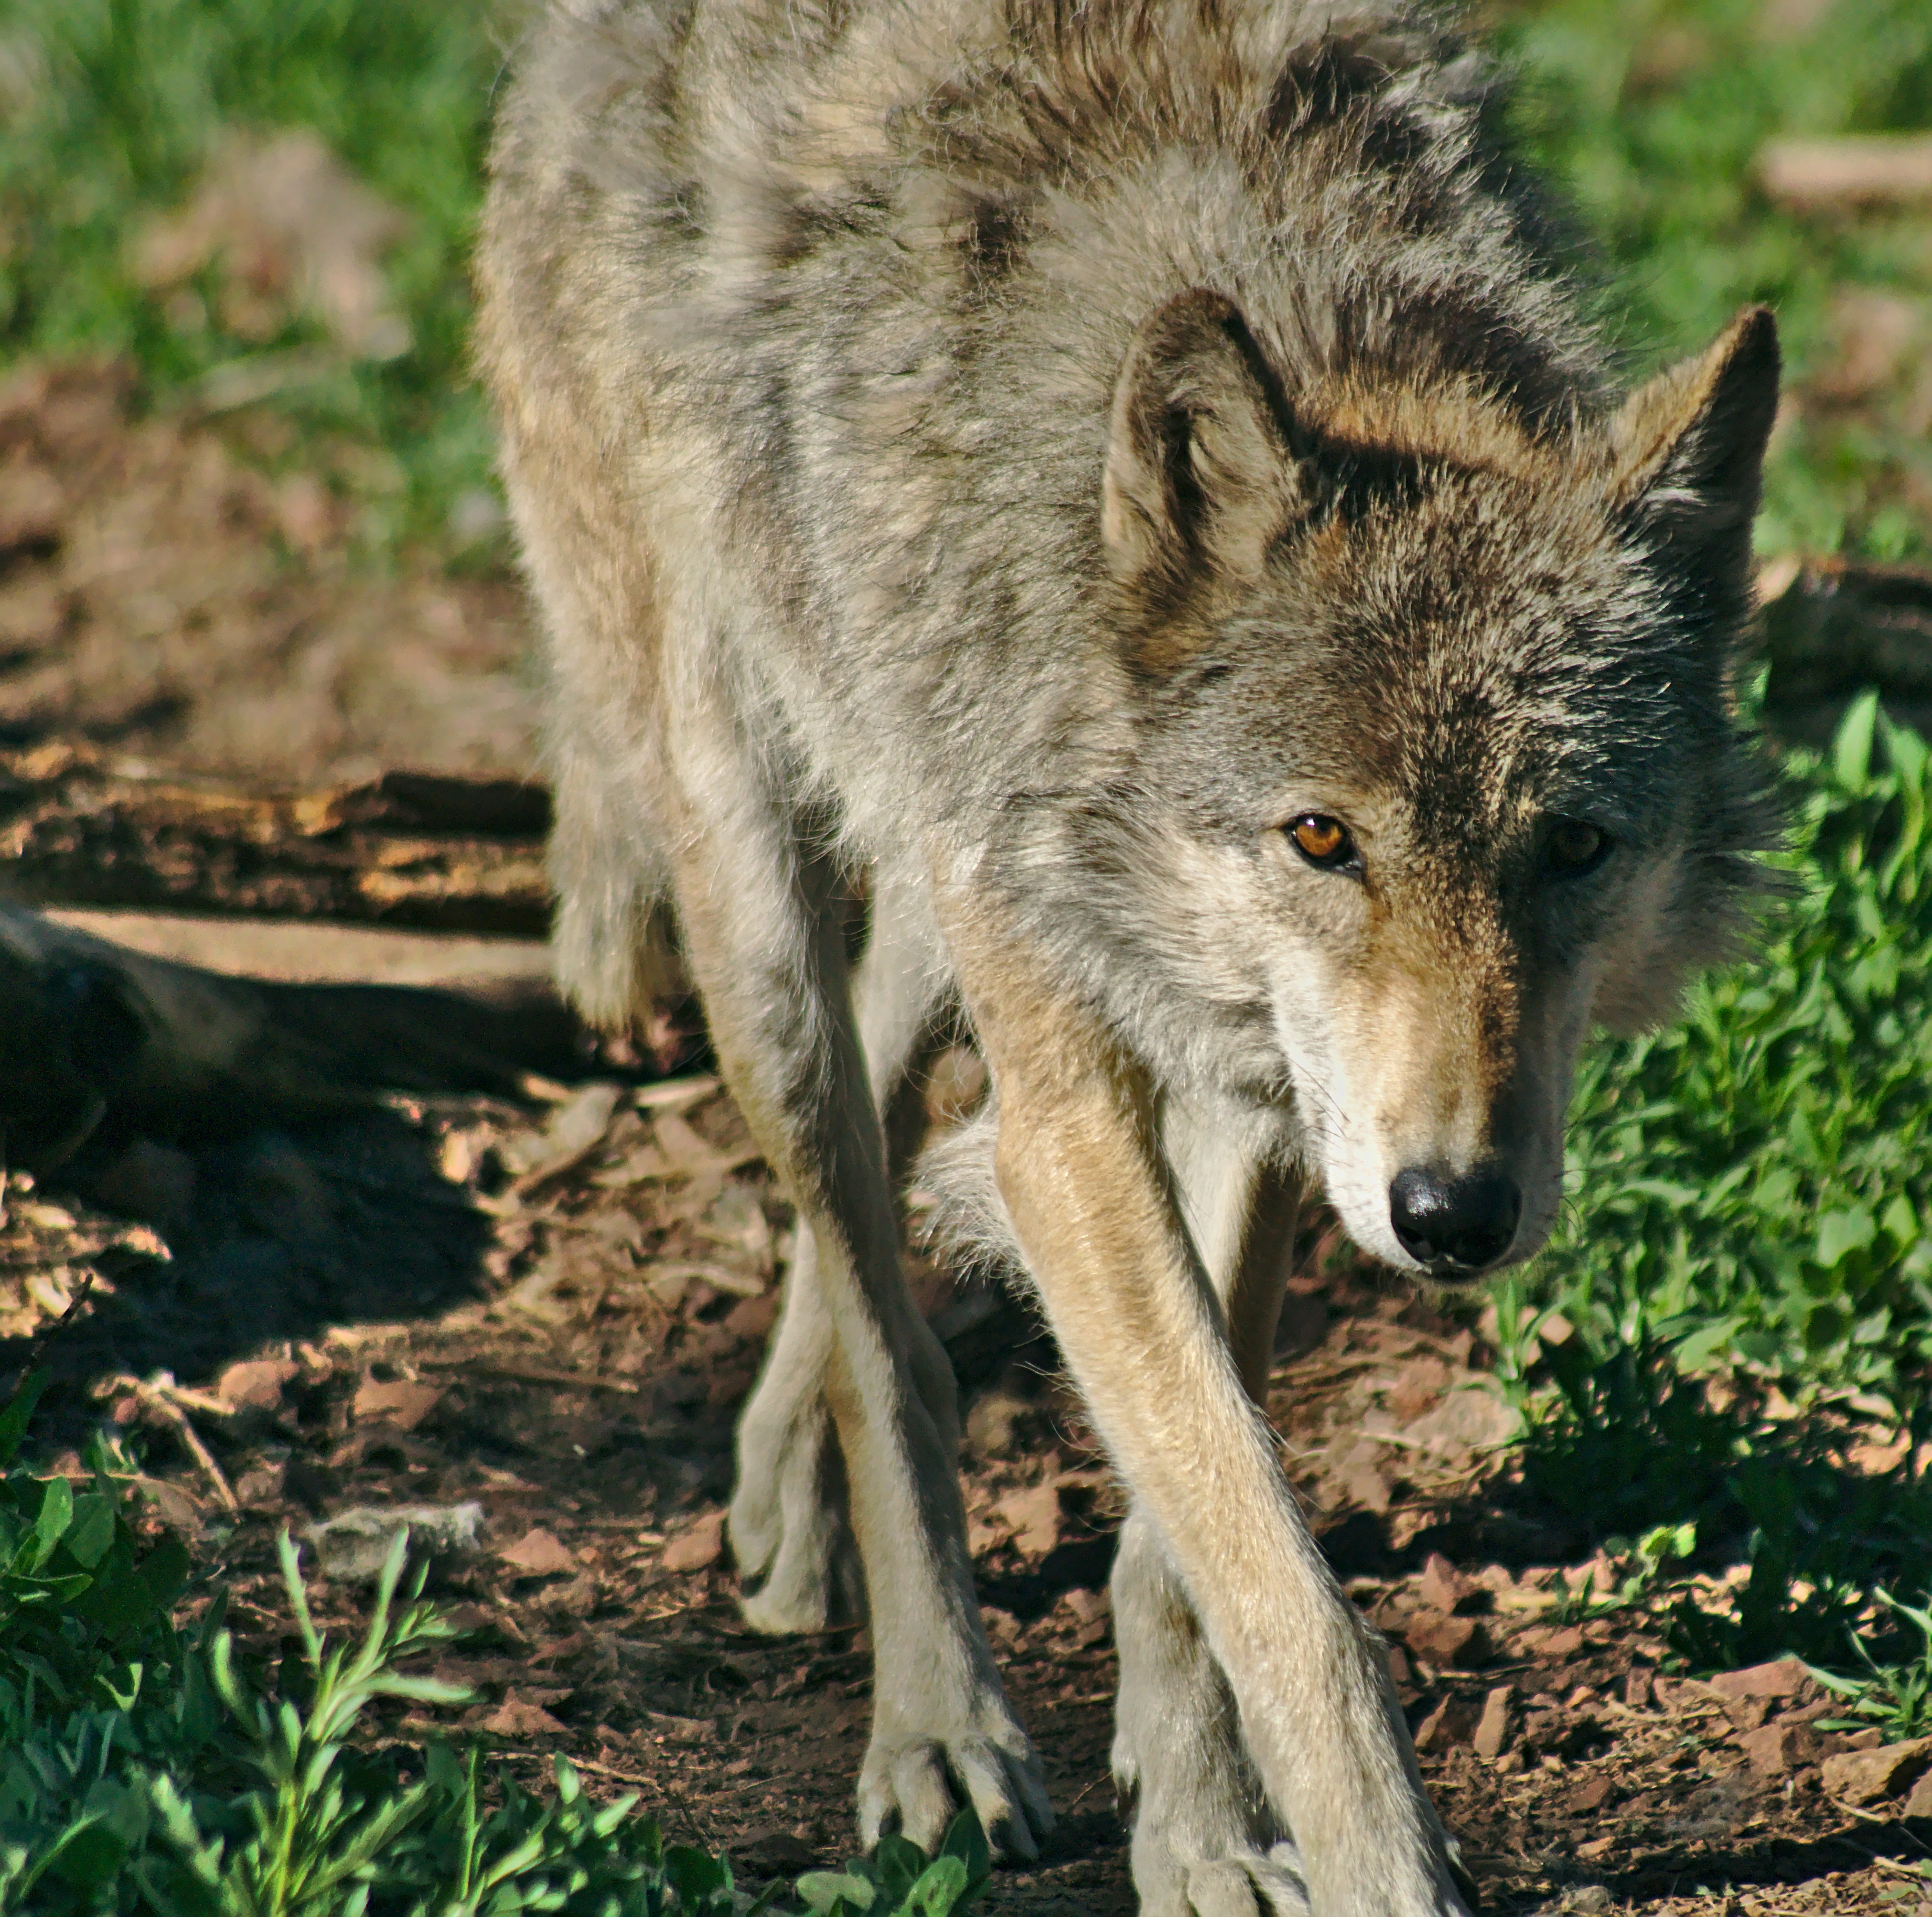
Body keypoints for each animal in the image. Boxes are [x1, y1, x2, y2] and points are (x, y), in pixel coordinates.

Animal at [476, 2, 1779, 1911]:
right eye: (1319, 839)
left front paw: (1204, 1826)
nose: (1453, 1217)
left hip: (941, 892)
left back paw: (788, 1486)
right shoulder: (1090, 1120)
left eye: (1572, 847)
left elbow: (1191, 1539)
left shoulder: (1268, 1100)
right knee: (869, 1278)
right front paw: (1378, 1865)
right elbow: (1280, 1587)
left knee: (884, 1137)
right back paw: (931, 1722)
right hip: (748, 889)